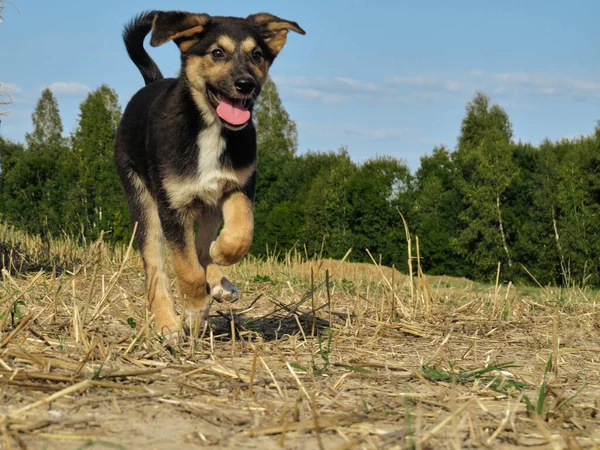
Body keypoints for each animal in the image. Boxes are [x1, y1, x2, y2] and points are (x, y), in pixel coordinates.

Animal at [113, 9, 304, 338]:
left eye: (257, 55)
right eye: (217, 53)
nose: (245, 84)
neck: (211, 127)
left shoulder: (239, 186)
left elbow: (240, 233)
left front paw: (222, 256)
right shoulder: (172, 207)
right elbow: (187, 268)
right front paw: (193, 310)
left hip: (209, 203)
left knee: (203, 246)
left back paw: (218, 280)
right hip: (142, 200)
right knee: (155, 266)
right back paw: (167, 322)